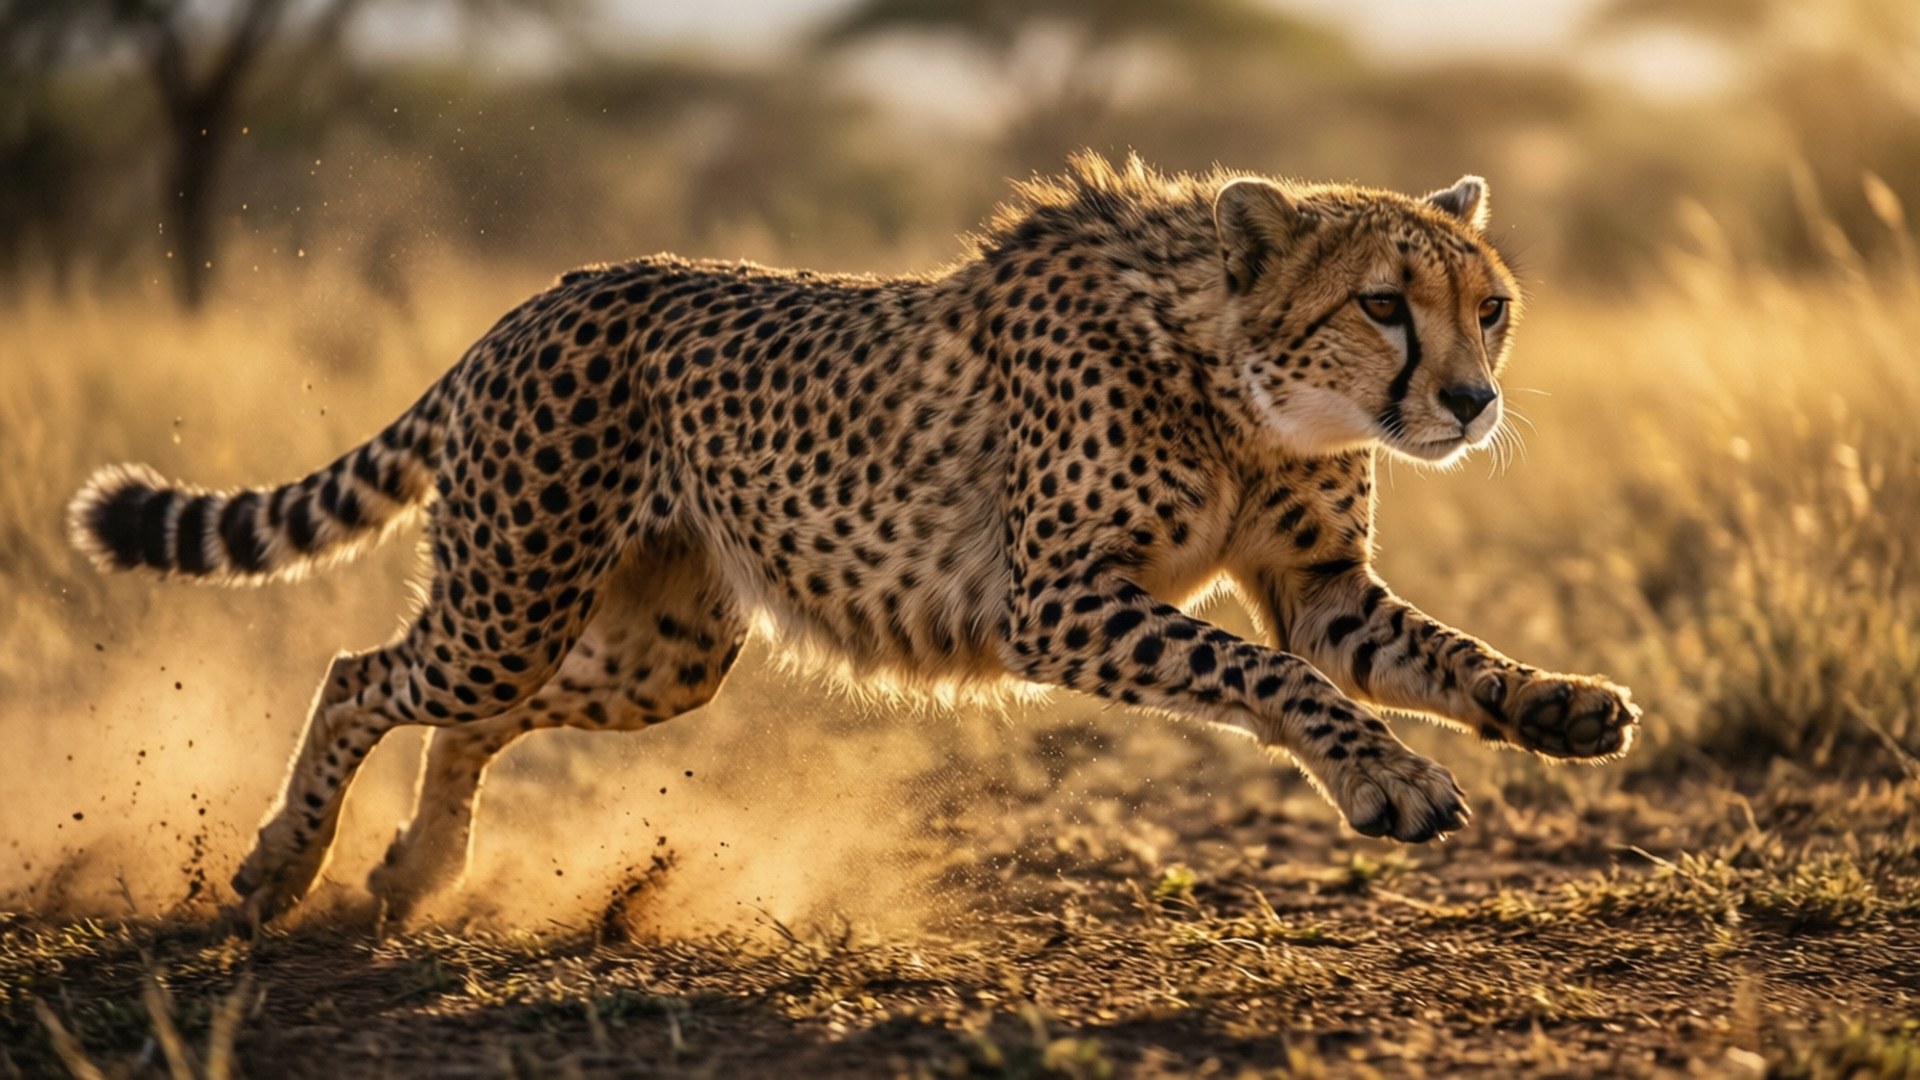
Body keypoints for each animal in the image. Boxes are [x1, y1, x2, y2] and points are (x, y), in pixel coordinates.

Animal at [67, 154, 1639, 925]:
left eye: (1490, 308)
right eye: (1382, 303)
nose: (1472, 399)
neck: (1236, 375)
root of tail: (541, 297)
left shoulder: (1316, 584)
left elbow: (1422, 651)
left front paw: (1558, 706)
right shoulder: (1057, 602)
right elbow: (1276, 679)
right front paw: (1391, 784)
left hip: (659, 653)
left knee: (476, 715)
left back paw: (412, 871)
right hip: (513, 599)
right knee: (362, 675)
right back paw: (281, 869)